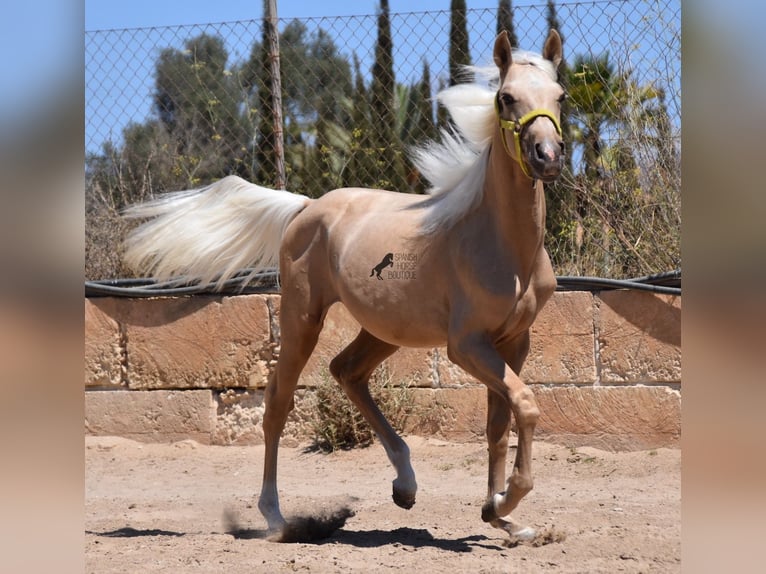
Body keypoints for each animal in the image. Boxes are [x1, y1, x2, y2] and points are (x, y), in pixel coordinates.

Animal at [126, 30, 568, 544]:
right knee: (278, 402)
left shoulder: (513, 341)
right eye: (505, 98)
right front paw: (508, 500)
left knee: (347, 372)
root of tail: (305, 206)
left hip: (385, 329)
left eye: (560, 96)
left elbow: (500, 423)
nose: (547, 157)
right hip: (302, 317)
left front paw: (500, 515)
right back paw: (275, 517)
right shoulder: (466, 345)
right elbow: (527, 405)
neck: (500, 243)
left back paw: (405, 486)